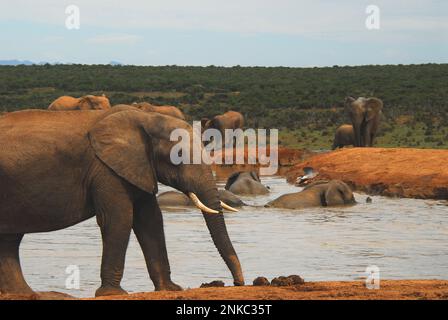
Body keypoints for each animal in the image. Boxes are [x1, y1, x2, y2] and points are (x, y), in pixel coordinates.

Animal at [0, 106, 243, 296]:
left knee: (10, 240)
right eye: (179, 156)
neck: (146, 118)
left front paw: (171, 289)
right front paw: (112, 293)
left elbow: (151, 220)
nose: (237, 283)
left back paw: (24, 294)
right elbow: (119, 219)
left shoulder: (137, 166)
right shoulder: (106, 168)